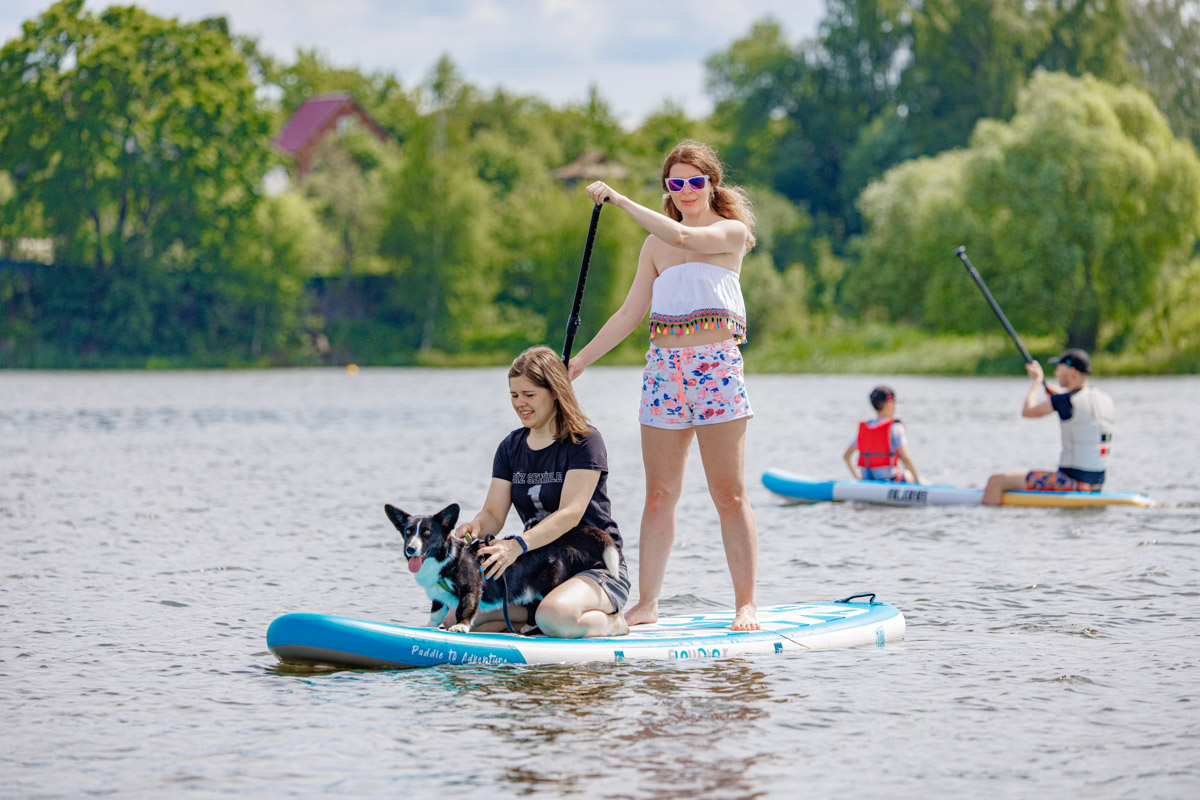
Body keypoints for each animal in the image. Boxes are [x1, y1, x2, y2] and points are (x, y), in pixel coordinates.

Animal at [386, 503, 619, 633]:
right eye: (408, 532)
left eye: (427, 532)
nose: (410, 549)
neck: (447, 559)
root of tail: (557, 543)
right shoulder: (437, 596)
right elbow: (435, 614)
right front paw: (427, 627)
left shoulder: (471, 589)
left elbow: (463, 609)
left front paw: (460, 626)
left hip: (548, 586)